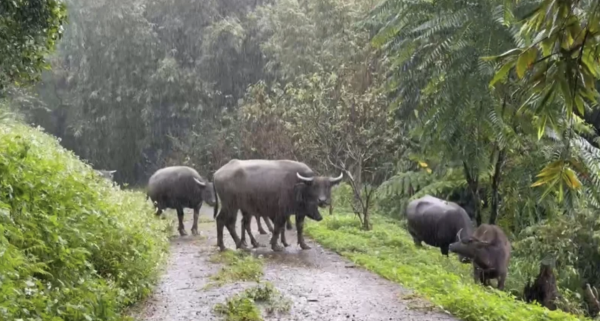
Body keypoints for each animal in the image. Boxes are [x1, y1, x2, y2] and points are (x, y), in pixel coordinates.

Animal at [212, 159, 342, 251]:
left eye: (327, 186)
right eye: (314, 187)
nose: (322, 200)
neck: (297, 186)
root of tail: (216, 174)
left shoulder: (299, 213)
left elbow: (299, 228)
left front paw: (303, 245)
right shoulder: (281, 212)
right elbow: (278, 227)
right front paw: (275, 245)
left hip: (237, 208)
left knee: (232, 223)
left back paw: (241, 244)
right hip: (230, 205)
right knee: (225, 221)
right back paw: (232, 245)